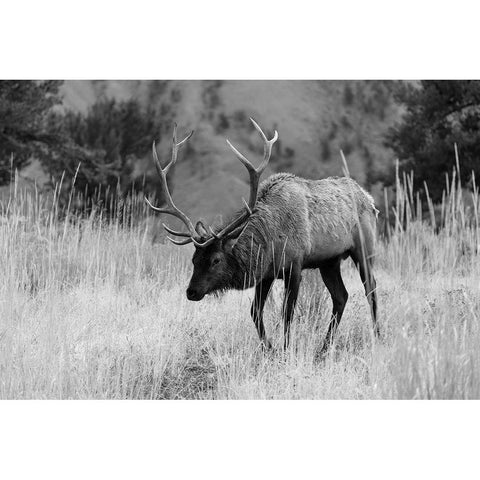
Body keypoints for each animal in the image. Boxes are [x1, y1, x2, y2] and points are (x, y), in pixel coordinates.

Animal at [146, 120, 378, 352]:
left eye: (216, 260)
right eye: (194, 260)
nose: (191, 292)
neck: (271, 241)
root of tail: (369, 199)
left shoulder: (295, 266)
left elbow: (287, 313)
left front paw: (285, 349)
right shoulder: (266, 273)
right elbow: (255, 312)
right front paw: (269, 347)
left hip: (364, 248)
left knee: (371, 288)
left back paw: (378, 335)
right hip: (329, 261)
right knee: (341, 296)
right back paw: (323, 348)